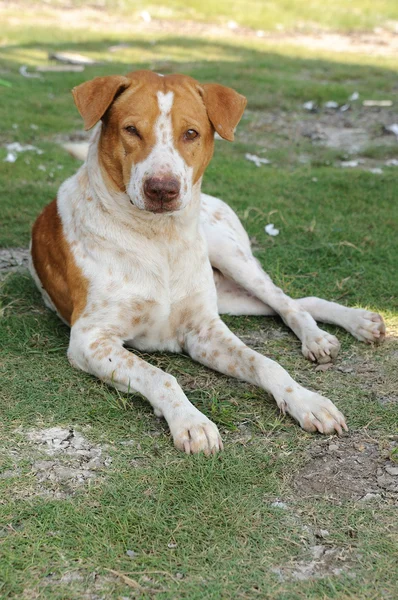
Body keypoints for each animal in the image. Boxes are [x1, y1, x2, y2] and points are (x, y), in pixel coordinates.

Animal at [30, 70, 386, 454]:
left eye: (191, 133)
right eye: (131, 129)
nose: (162, 189)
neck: (159, 239)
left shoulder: (203, 328)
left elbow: (266, 363)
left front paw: (307, 401)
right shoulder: (91, 339)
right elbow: (161, 375)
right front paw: (191, 421)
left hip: (230, 257)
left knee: (288, 302)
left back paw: (333, 332)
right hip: (228, 295)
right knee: (296, 301)